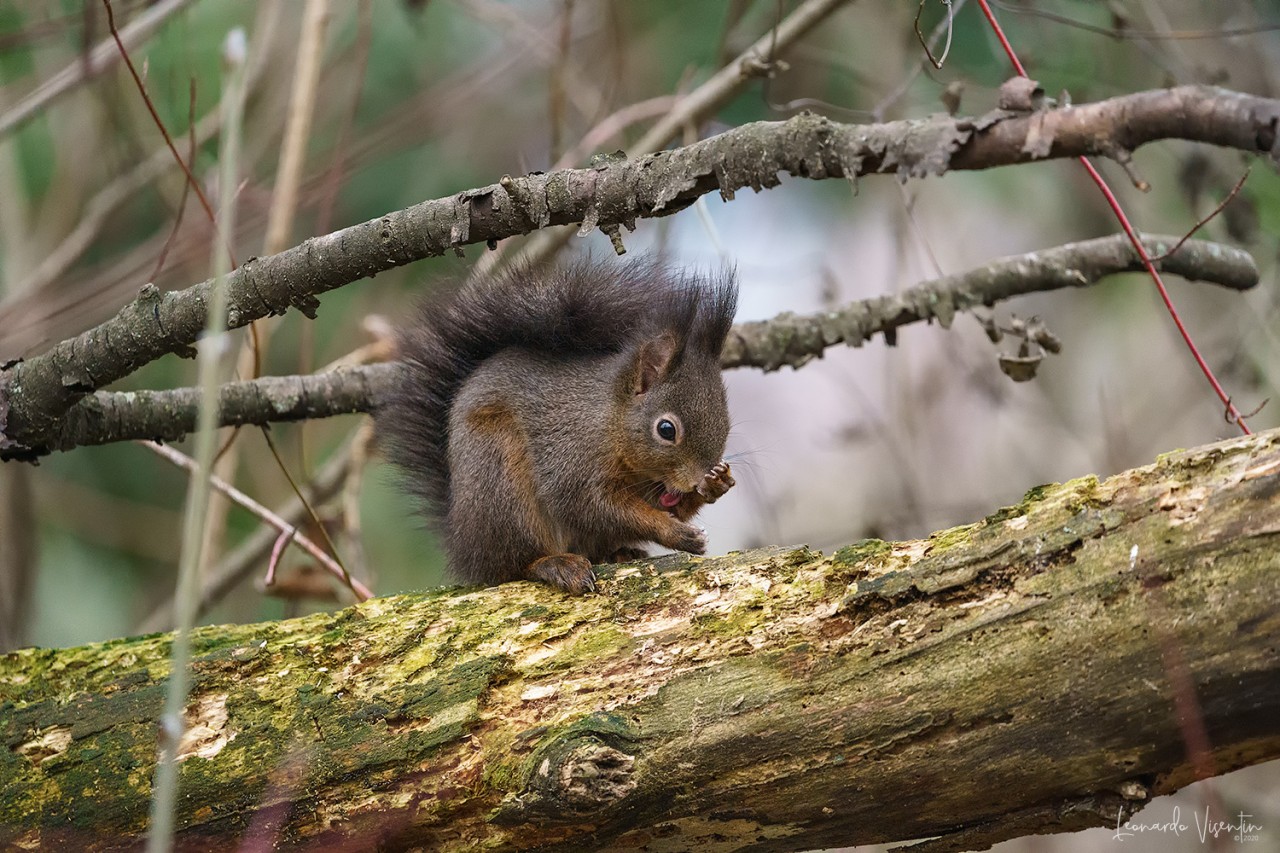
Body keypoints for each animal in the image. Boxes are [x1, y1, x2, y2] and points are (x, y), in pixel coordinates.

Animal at [376, 256, 739, 594]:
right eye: (666, 430)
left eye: (726, 423)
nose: (695, 480)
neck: (611, 421)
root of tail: (464, 544)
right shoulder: (571, 459)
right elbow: (593, 505)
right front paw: (674, 531)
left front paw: (716, 483)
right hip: (500, 482)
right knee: (514, 565)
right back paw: (556, 565)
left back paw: (621, 553)